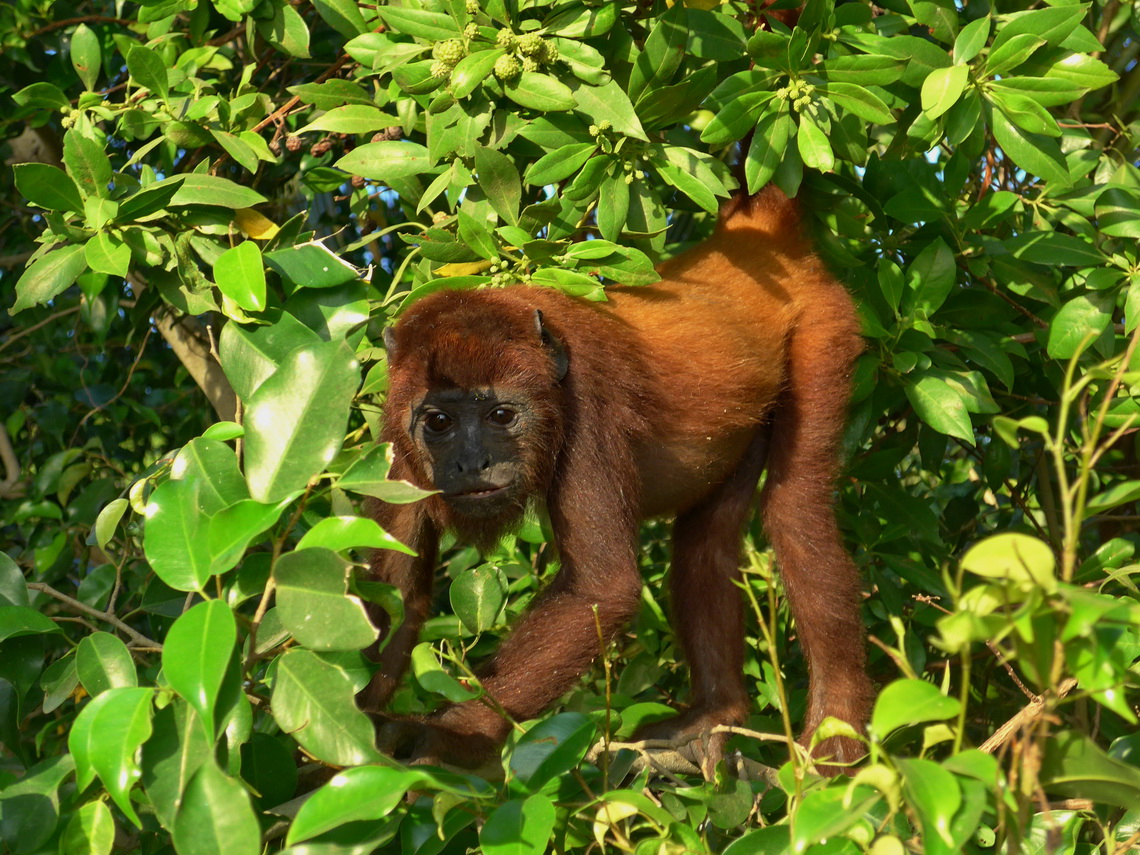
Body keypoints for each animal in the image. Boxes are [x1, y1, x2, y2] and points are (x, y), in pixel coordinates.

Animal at [364, 189, 870, 775]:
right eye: (439, 422)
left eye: (501, 416)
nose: (473, 465)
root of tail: (751, 232)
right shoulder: (394, 431)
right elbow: (395, 597)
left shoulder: (589, 392)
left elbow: (600, 589)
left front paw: (454, 734)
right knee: (706, 541)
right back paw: (713, 713)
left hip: (823, 327)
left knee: (796, 510)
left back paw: (836, 738)